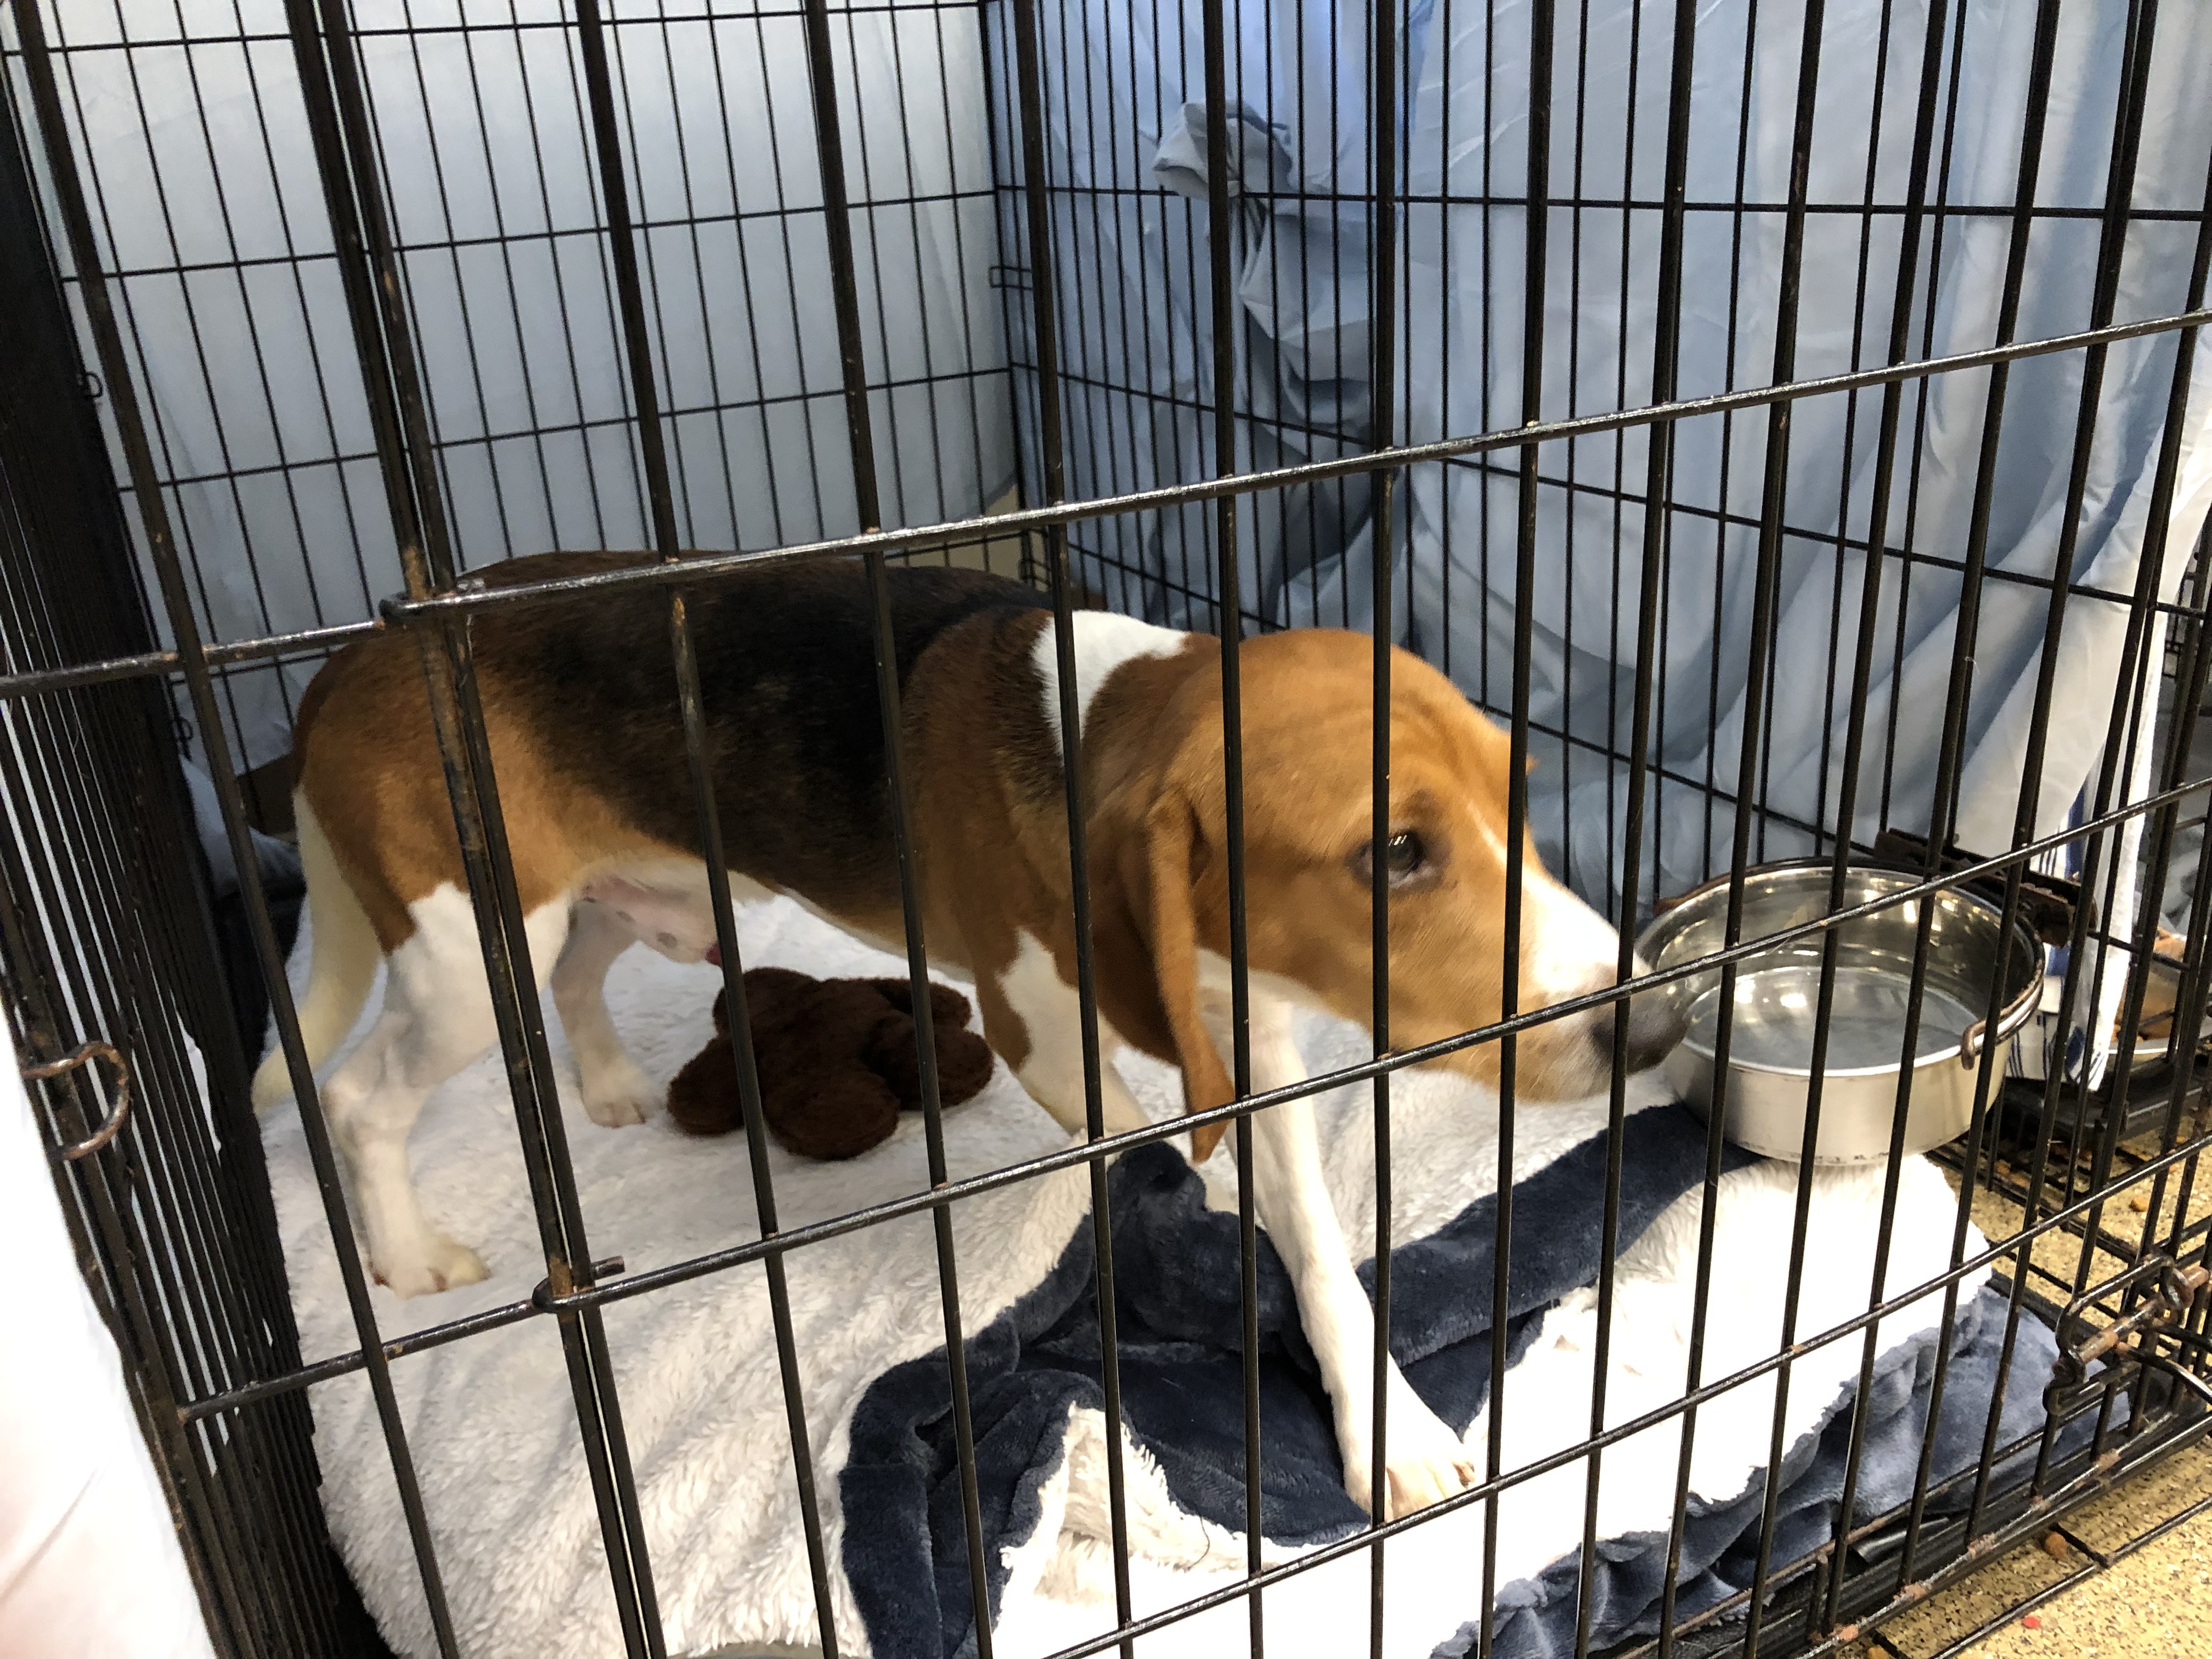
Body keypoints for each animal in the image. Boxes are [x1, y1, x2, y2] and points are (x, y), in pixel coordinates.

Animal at [251, 555, 1681, 1522]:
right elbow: (1158, 1159)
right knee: (362, 1099)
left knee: (575, 982)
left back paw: (603, 1086)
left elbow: (1326, 1258)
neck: (1091, 728)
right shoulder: (1049, 1040)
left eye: (1518, 799)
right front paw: (1194, 1249)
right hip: (461, 954)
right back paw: (411, 1253)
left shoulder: (1258, 1041)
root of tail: (358, 653)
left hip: (616, 898)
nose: (1658, 1019)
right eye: (1393, 853)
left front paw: (1385, 1424)